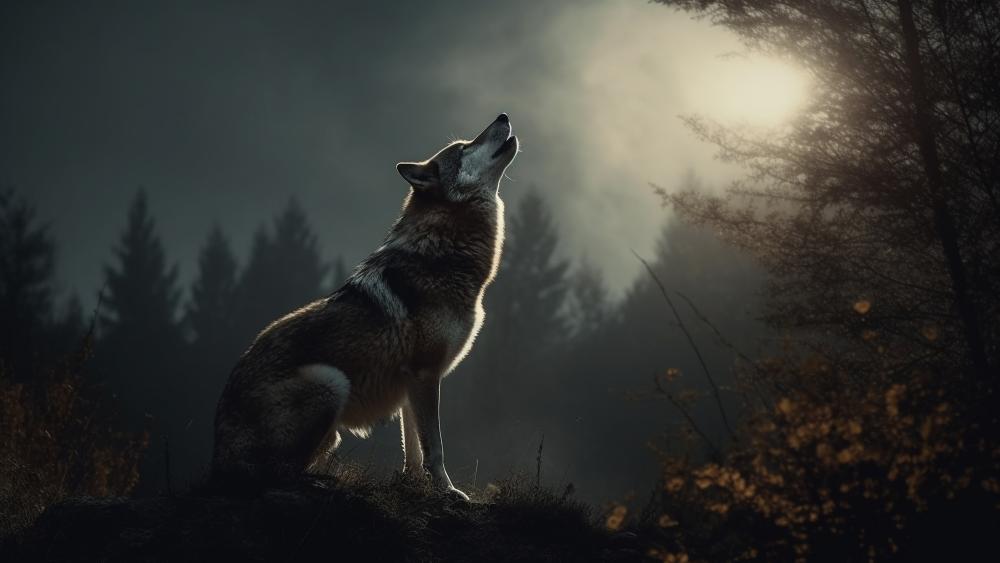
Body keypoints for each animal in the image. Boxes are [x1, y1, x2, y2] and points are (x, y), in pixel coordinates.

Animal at [211, 114, 518, 499]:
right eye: (464, 147)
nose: (503, 116)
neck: (444, 252)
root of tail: (218, 458)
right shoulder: (425, 375)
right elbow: (434, 447)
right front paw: (449, 492)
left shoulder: (410, 385)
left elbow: (413, 449)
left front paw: (415, 486)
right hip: (331, 382)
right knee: (280, 473)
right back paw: (319, 482)